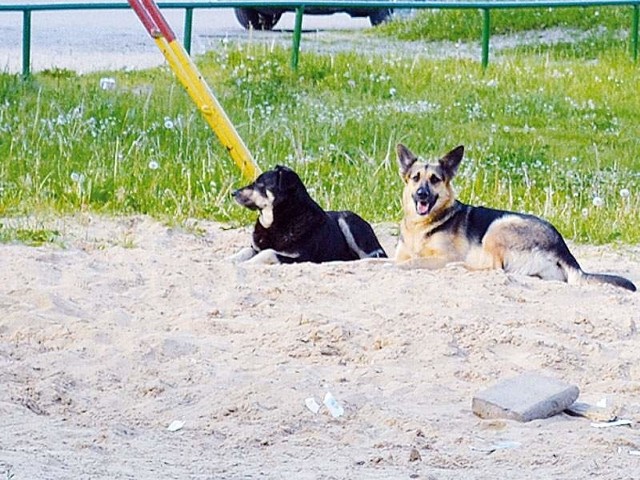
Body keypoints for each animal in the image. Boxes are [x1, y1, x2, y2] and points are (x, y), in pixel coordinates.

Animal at [231, 165, 388, 262]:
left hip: (348, 220)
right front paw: (230, 260)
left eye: (259, 184)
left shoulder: (300, 258)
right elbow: (245, 251)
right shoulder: (255, 248)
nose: (233, 192)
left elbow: (268, 252)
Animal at [396, 142, 636, 290]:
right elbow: (399, 260)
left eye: (435, 179)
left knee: (495, 268)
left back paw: (459, 268)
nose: (422, 194)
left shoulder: (443, 256)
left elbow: (410, 262)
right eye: (415, 178)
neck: (420, 226)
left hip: (499, 226)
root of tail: (563, 248)